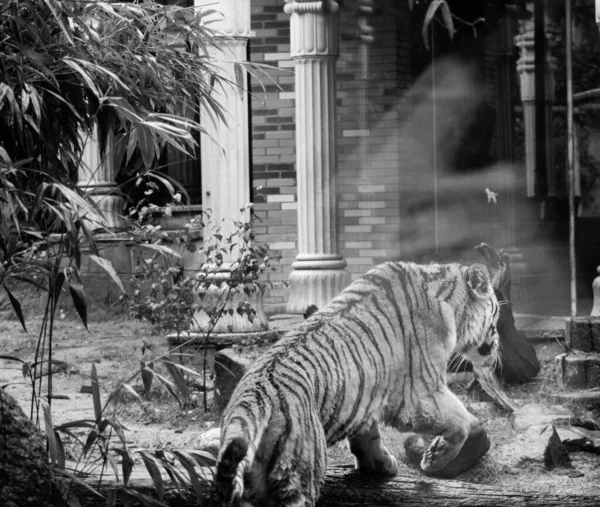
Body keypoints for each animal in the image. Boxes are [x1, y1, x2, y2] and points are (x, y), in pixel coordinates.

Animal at [213, 262, 500, 507]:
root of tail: (253, 395)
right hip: (297, 480)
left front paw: (381, 465)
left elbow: (368, 435)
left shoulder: (366, 394)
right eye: (496, 315)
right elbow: (462, 420)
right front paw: (435, 459)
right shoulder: (419, 395)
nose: (497, 344)